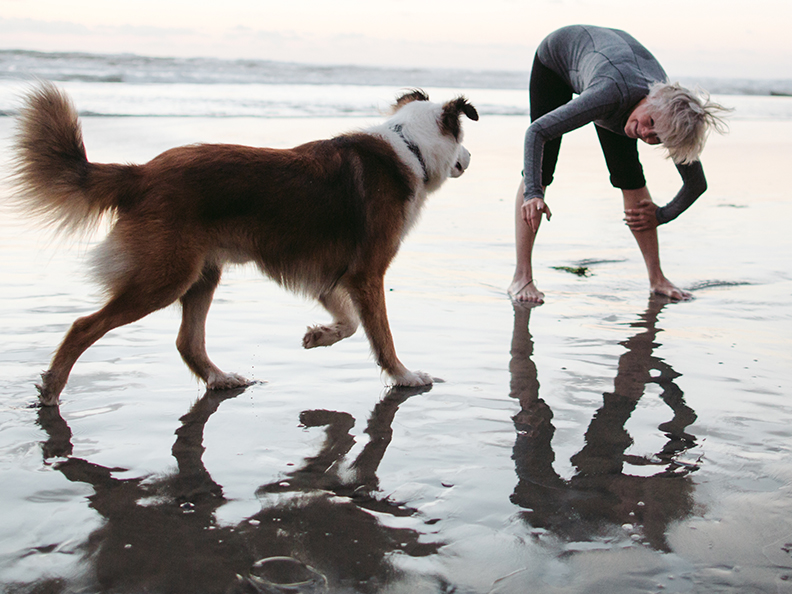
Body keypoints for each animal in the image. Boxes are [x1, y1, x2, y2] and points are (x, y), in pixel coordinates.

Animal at [13, 84, 476, 408]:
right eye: (463, 140)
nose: (470, 159)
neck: (409, 148)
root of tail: (141, 173)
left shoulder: (331, 276)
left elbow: (349, 324)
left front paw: (319, 336)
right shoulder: (367, 274)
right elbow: (380, 333)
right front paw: (403, 375)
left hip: (202, 272)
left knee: (188, 342)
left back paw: (219, 379)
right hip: (165, 276)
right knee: (83, 326)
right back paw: (52, 388)